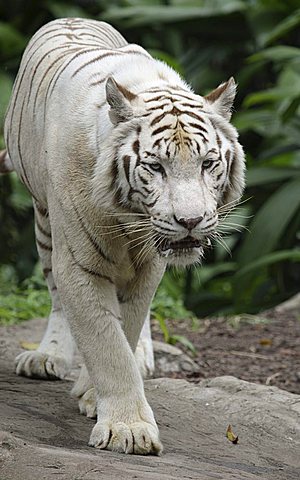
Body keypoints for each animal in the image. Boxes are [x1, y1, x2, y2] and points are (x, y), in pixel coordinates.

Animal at [2, 17, 245, 454]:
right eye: (155, 166)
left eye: (208, 163)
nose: (191, 220)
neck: (130, 219)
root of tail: (74, 18)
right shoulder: (79, 262)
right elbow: (106, 343)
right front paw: (127, 429)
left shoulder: (149, 264)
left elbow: (127, 328)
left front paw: (95, 396)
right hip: (44, 222)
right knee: (56, 297)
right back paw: (47, 356)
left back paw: (144, 358)